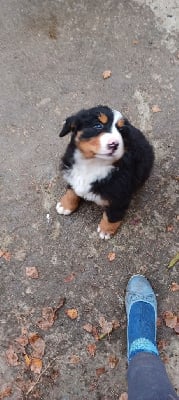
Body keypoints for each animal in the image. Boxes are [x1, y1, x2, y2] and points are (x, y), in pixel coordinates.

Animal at [56, 104, 155, 239]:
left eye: (121, 132)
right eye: (98, 126)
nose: (114, 144)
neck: (93, 164)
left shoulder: (119, 195)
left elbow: (112, 215)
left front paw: (106, 230)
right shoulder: (71, 172)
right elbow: (71, 190)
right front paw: (65, 205)